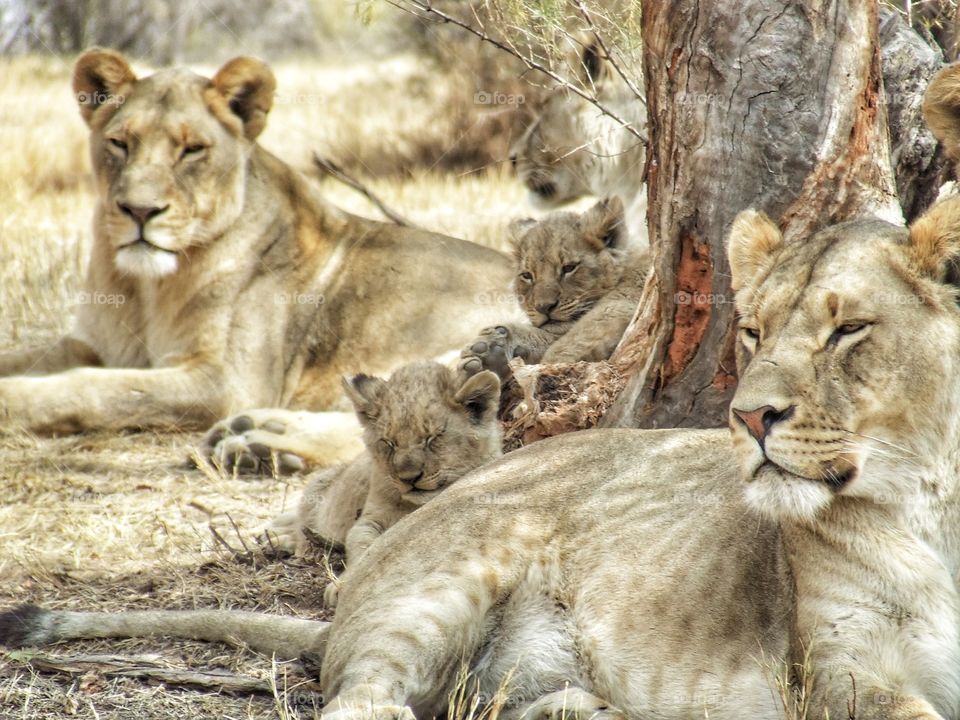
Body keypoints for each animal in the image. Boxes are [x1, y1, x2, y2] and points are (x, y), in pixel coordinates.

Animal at [0, 49, 520, 454]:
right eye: (119, 143)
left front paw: (12, 402)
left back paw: (260, 443)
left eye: (192, 150)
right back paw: (259, 432)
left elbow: (96, 387)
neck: (147, 287)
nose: (140, 210)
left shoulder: (224, 381)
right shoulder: (90, 343)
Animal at [264, 361, 502, 609]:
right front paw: (343, 586)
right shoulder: (368, 519)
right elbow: (363, 550)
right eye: (389, 443)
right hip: (318, 484)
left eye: (433, 438)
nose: (409, 478)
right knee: (301, 530)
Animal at [459, 196, 647, 378]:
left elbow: (574, 340)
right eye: (527, 276)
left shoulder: (624, 299)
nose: (544, 307)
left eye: (569, 268)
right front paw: (491, 350)